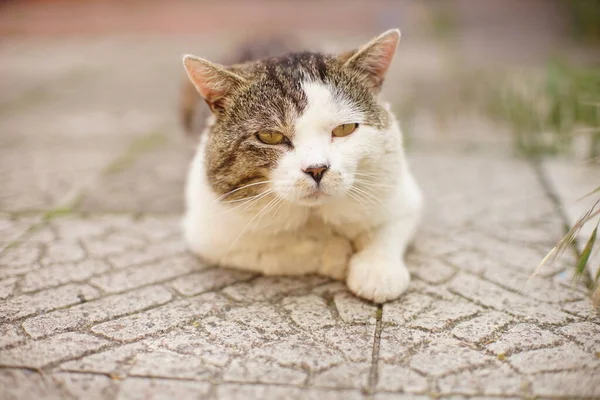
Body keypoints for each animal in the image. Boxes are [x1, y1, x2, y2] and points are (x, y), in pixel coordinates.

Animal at [182, 28, 422, 304]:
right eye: (270, 136)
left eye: (344, 129)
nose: (316, 169)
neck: (314, 215)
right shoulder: (213, 237)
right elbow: (279, 252)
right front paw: (335, 253)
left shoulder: (401, 195)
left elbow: (386, 231)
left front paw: (376, 269)